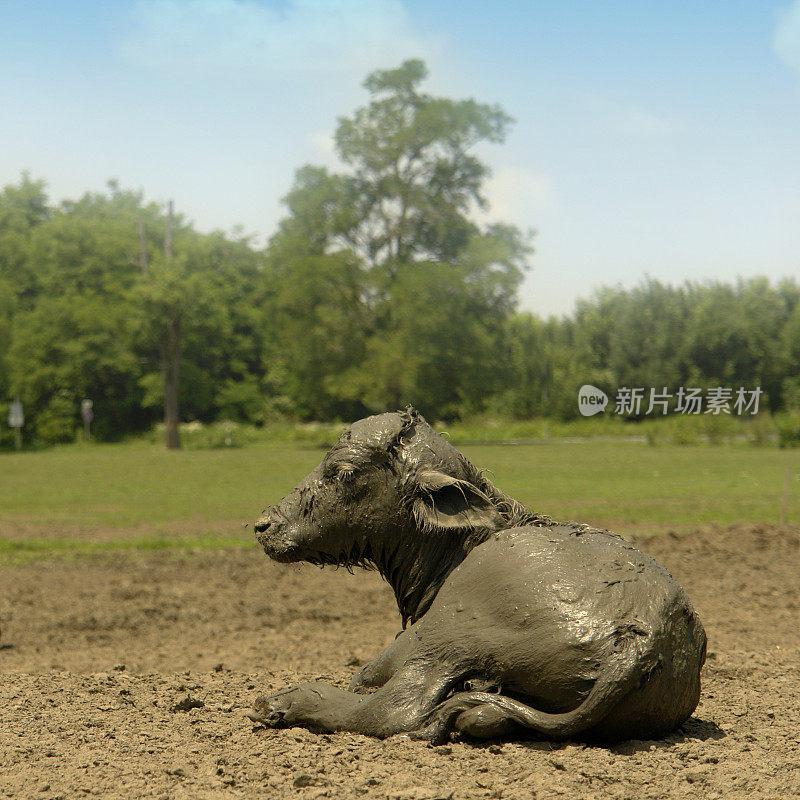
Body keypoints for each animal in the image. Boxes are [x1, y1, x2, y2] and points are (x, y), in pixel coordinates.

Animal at [252, 406, 708, 744]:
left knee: (395, 709)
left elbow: (365, 676)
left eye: (343, 472)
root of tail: (641, 638)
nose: (264, 525)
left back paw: (280, 702)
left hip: (449, 637)